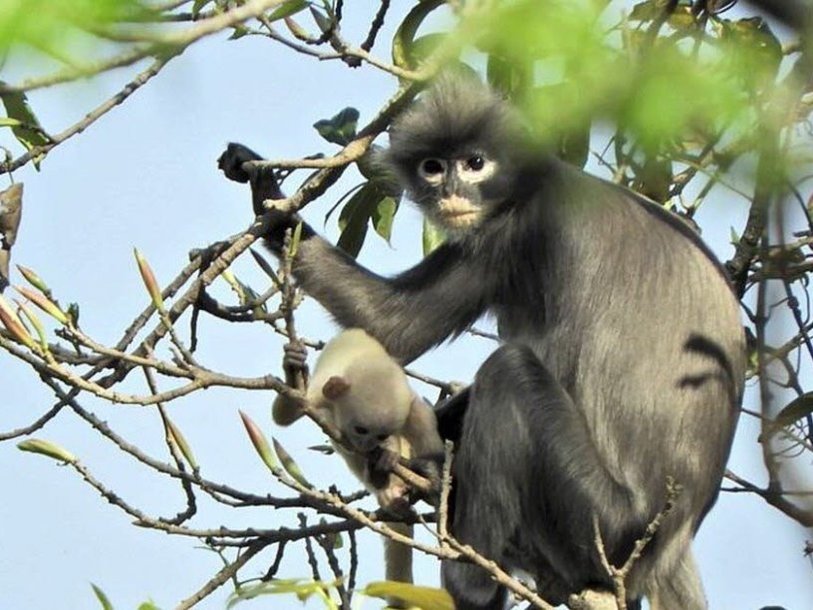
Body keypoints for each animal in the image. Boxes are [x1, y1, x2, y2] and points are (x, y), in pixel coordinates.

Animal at [219, 72, 744, 608]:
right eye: (433, 167)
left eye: (476, 163)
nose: (451, 190)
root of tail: (663, 548)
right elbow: (393, 322)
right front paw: (264, 191)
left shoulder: (527, 229)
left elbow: (406, 330)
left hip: (602, 524)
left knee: (510, 370)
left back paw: (472, 580)